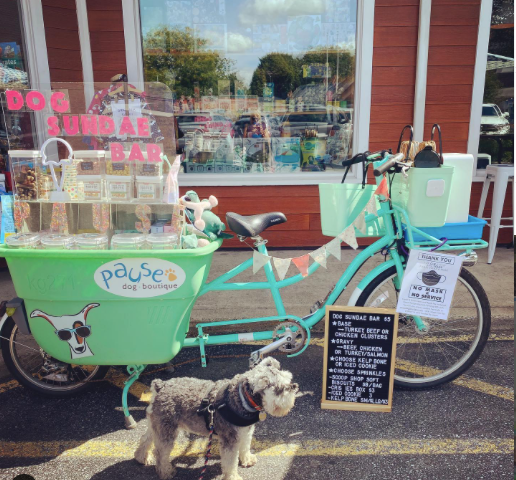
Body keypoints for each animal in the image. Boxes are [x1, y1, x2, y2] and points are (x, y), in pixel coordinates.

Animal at [135, 358, 298, 478]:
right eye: (280, 388)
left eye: (288, 379)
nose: (295, 387)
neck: (243, 397)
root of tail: (160, 386)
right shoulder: (230, 440)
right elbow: (230, 462)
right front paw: (233, 477)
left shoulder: (245, 432)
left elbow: (245, 447)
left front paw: (247, 459)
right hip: (167, 431)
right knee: (161, 452)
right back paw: (166, 472)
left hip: (157, 424)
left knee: (146, 439)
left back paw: (141, 457)